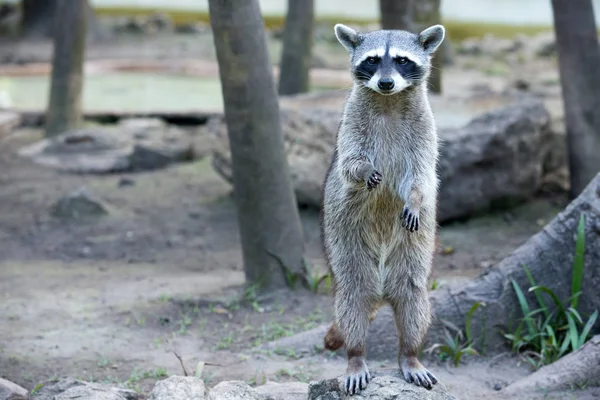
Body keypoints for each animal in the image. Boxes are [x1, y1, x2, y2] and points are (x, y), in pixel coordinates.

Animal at [318, 23, 446, 396]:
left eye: (402, 61)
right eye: (373, 60)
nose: (386, 82)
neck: (389, 101)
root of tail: (382, 288)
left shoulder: (425, 131)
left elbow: (421, 177)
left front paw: (415, 199)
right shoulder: (350, 126)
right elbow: (350, 164)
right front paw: (363, 172)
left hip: (413, 256)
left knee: (414, 301)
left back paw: (410, 353)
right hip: (345, 249)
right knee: (352, 302)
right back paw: (356, 355)